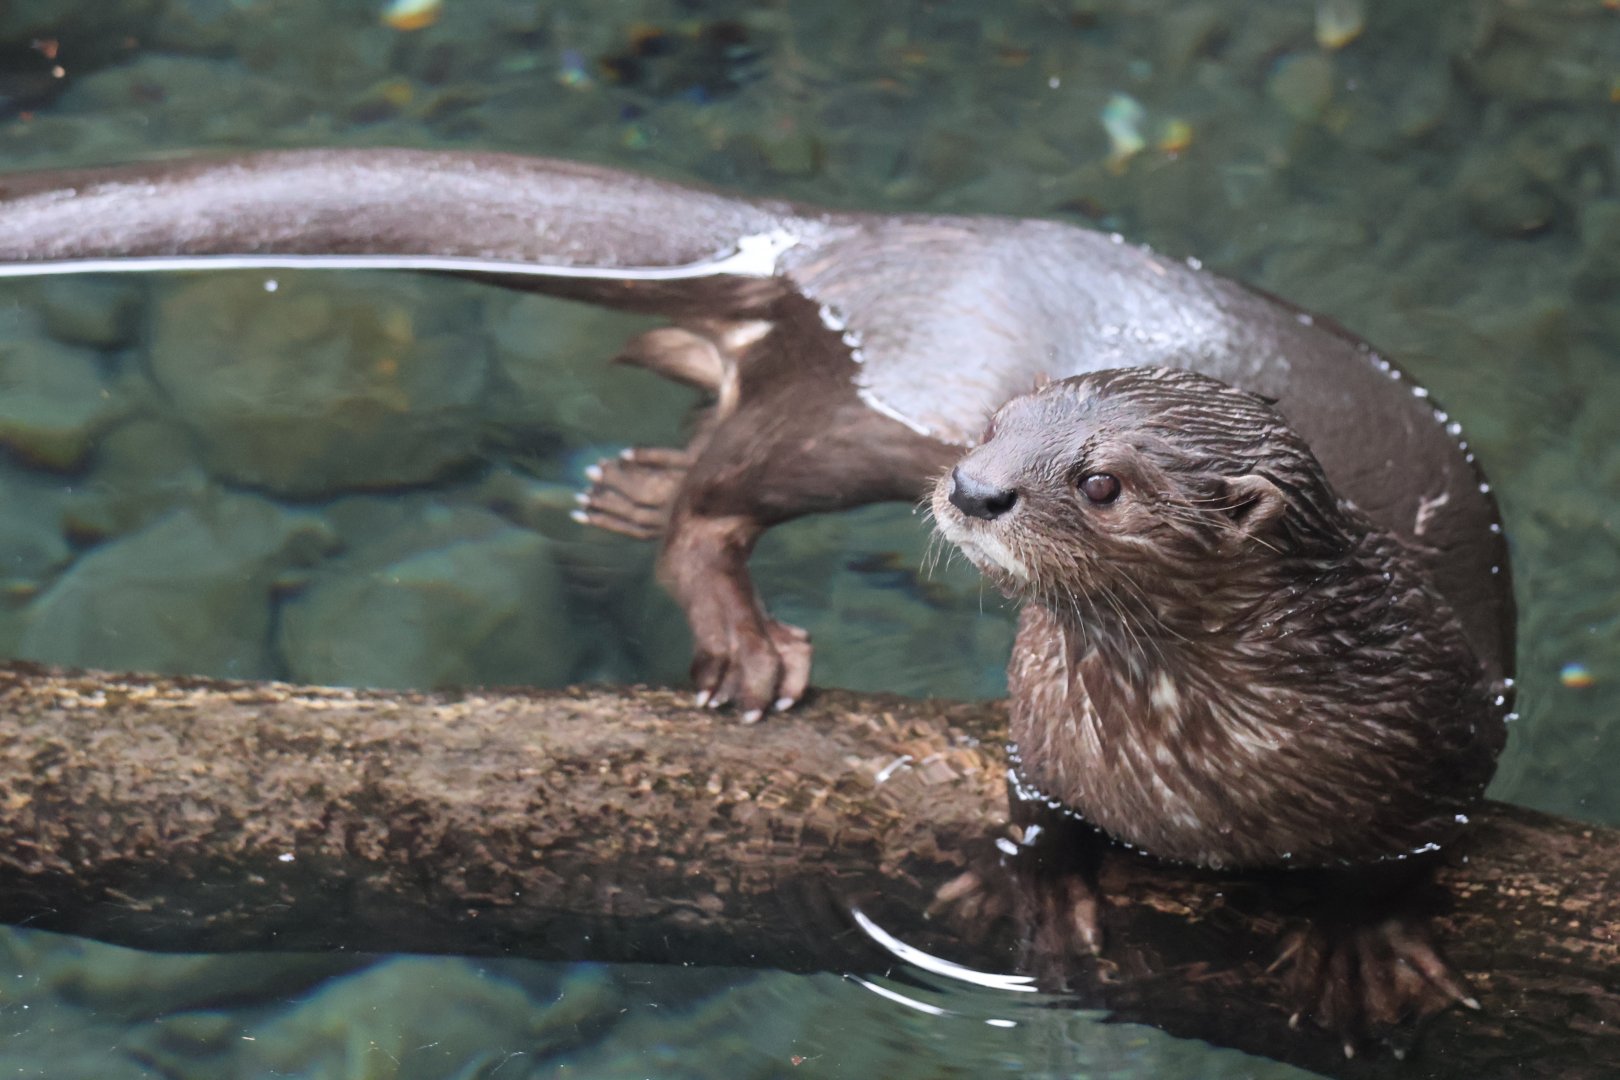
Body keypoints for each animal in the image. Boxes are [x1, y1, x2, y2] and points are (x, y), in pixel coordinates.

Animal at [933, 366, 1508, 1043]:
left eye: (1101, 483)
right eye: (991, 428)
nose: (973, 488)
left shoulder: (1442, 730)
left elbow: (1393, 865)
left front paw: (1355, 947)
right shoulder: (1036, 712)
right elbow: (1035, 810)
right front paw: (1033, 889)